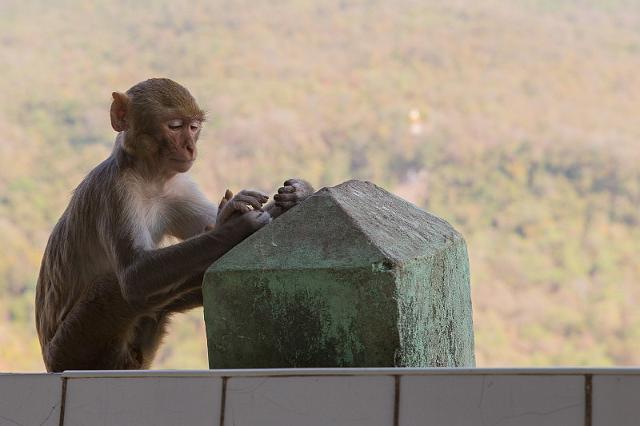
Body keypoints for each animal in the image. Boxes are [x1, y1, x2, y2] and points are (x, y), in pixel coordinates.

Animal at [35, 78, 316, 372]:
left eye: (193, 127)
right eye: (175, 126)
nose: (191, 147)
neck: (148, 177)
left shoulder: (179, 188)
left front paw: (298, 193)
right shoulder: (115, 190)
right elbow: (134, 277)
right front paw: (232, 226)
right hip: (73, 344)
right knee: (115, 285)